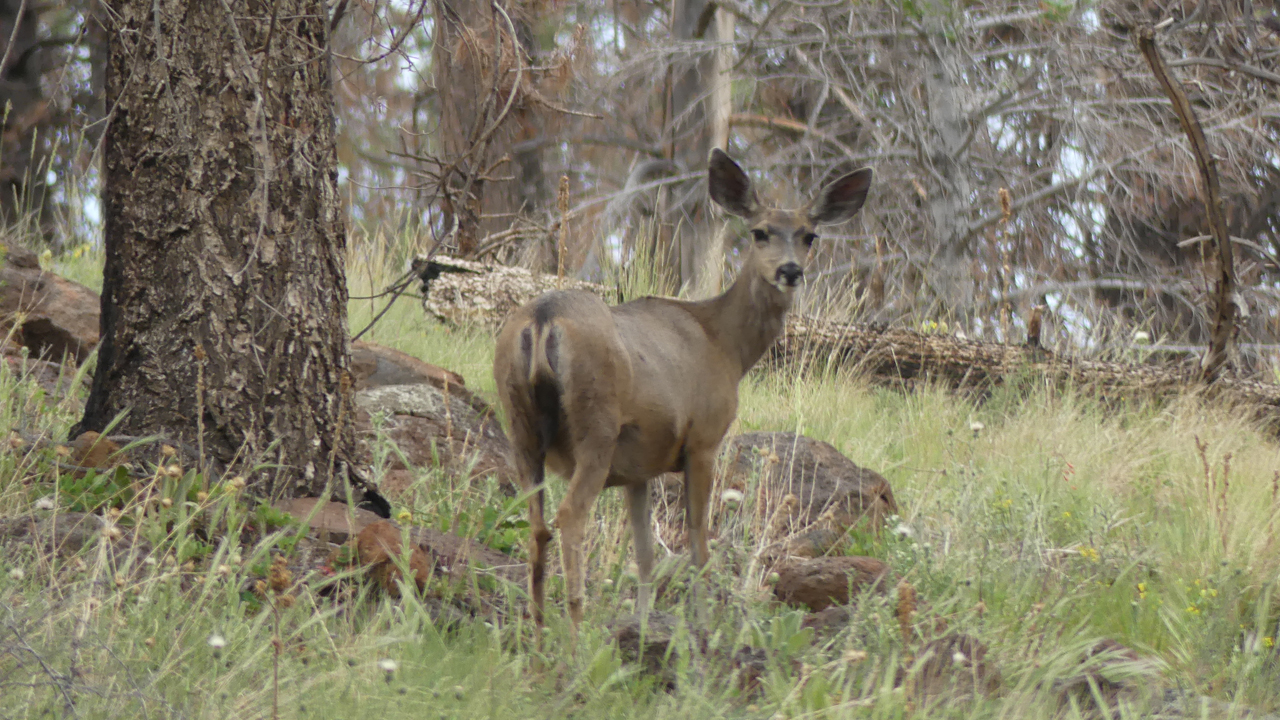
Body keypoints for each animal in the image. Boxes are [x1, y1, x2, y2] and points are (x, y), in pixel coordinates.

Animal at [494, 147, 875, 622]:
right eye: (760, 232)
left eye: (809, 235)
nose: (789, 271)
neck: (725, 344)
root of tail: (542, 319)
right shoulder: (704, 439)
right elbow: (698, 540)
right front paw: (704, 620)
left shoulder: (637, 467)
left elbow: (644, 555)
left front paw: (641, 623)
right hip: (596, 424)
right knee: (569, 517)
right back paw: (576, 625)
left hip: (521, 426)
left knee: (537, 524)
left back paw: (539, 625)